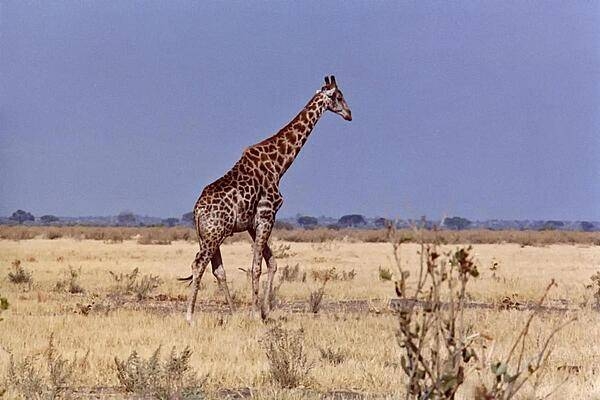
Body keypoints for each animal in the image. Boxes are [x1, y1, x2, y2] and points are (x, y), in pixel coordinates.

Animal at [182, 76, 352, 324]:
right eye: (339, 96)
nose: (349, 113)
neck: (279, 164)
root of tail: (197, 211)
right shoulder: (267, 214)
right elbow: (256, 267)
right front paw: (255, 313)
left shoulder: (253, 223)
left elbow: (272, 262)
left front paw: (264, 310)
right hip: (214, 235)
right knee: (198, 264)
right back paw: (190, 317)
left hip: (207, 236)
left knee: (217, 270)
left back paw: (233, 313)